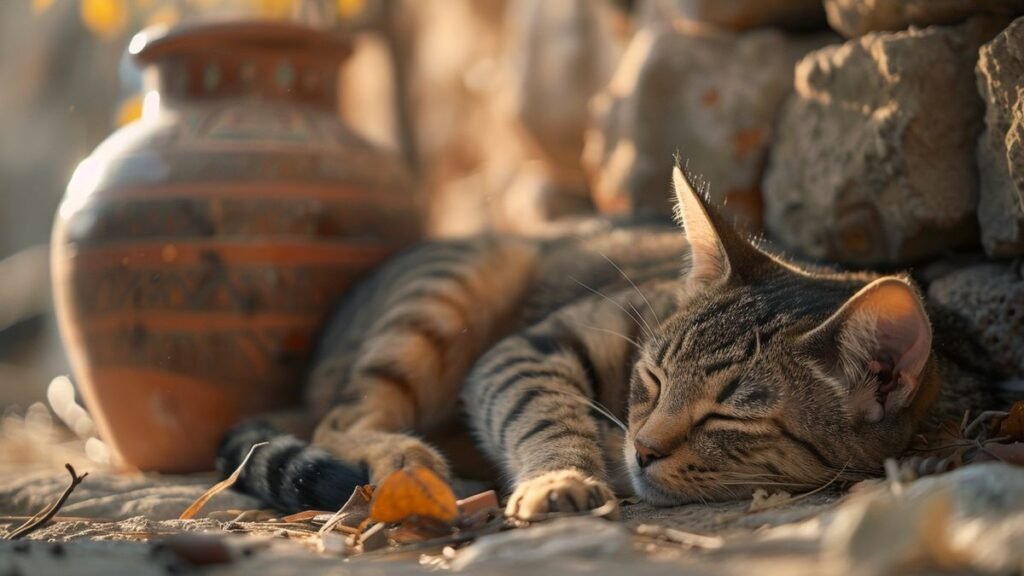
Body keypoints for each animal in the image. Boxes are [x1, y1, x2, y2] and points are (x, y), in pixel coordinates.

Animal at [218, 165, 999, 516]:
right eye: (650, 380)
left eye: (730, 415)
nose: (641, 447)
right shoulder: (526, 350)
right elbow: (542, 411)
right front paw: (561, 477)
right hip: (456, 286)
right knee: (340, 417)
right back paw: (403, 458)